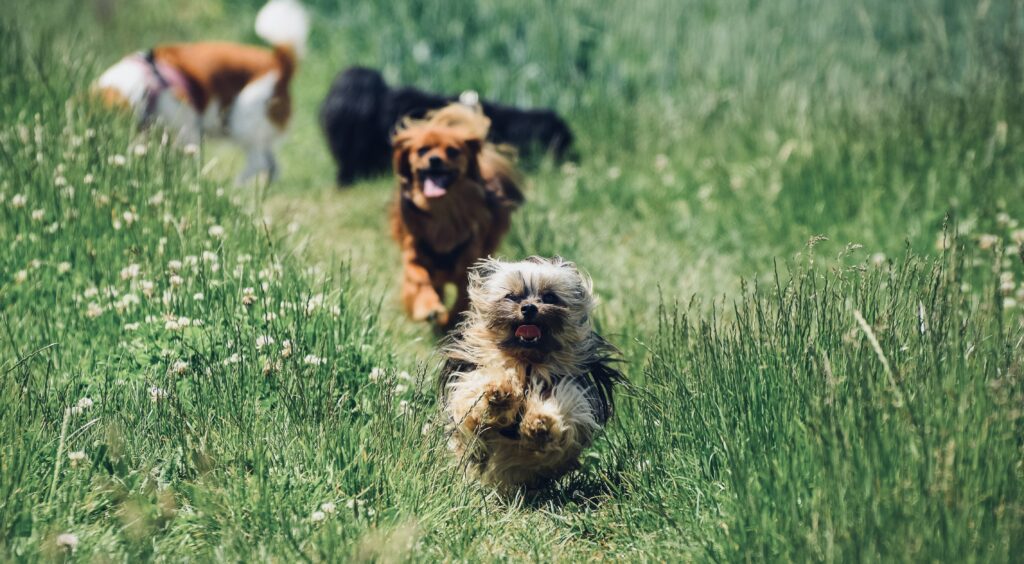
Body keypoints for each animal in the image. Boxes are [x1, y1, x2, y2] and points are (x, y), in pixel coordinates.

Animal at [93, 0, 307, 183]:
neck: (147, 86)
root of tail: (280, 62)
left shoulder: (187, 132)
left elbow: (188, 162)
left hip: (242, 120)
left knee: (258, 162)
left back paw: (233, 188)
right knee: (273, 167)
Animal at [387, 105, 524, 331]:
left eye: (452, 151)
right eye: (422, 150)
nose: (434, 159)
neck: (443, 211)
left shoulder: (469, 267)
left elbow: (463, 299)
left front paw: (451, 322)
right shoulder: (414, 257)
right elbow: (420, 281)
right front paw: (428, 307)